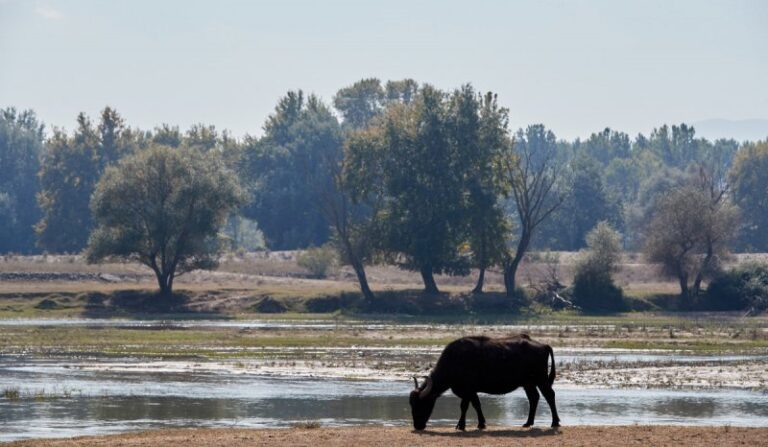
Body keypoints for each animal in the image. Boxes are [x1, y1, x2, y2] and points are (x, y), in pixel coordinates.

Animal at [408, 336, 560, 430]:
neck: (454, 361)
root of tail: (543, 345)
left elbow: (464, 406)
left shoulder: (467, 390)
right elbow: (476, 404)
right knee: (534, 398)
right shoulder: (471, 391)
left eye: (422, 404)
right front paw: (481, 424)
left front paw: (460, 425)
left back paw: (555, 422)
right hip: (528, 383)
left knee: (550, 395)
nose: (417, 426)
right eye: (412, 404)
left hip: (541, 380)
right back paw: (528, 423)